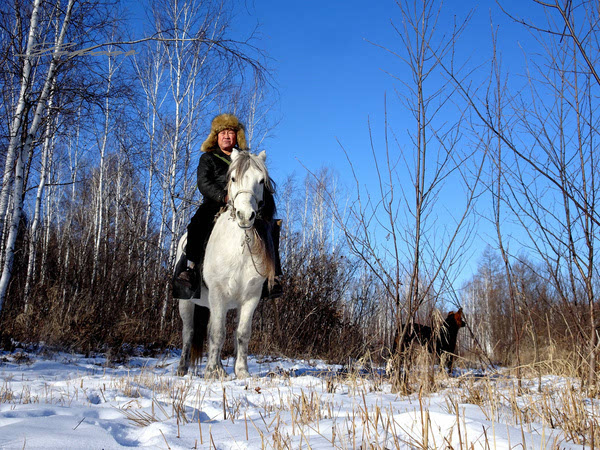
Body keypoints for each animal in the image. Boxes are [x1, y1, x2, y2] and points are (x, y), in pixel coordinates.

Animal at [175, 149, 276, 378]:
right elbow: (217, 333)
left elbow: (242, 334)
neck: (239, 247)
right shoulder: (218, 293)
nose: (245, 216)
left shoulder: (250, 298)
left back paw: (221, 369)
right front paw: (211, 373)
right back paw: (183, 369)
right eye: (233, 178)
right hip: (187, 302)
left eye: (261, 180)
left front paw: (241, 372)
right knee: (188, 333)